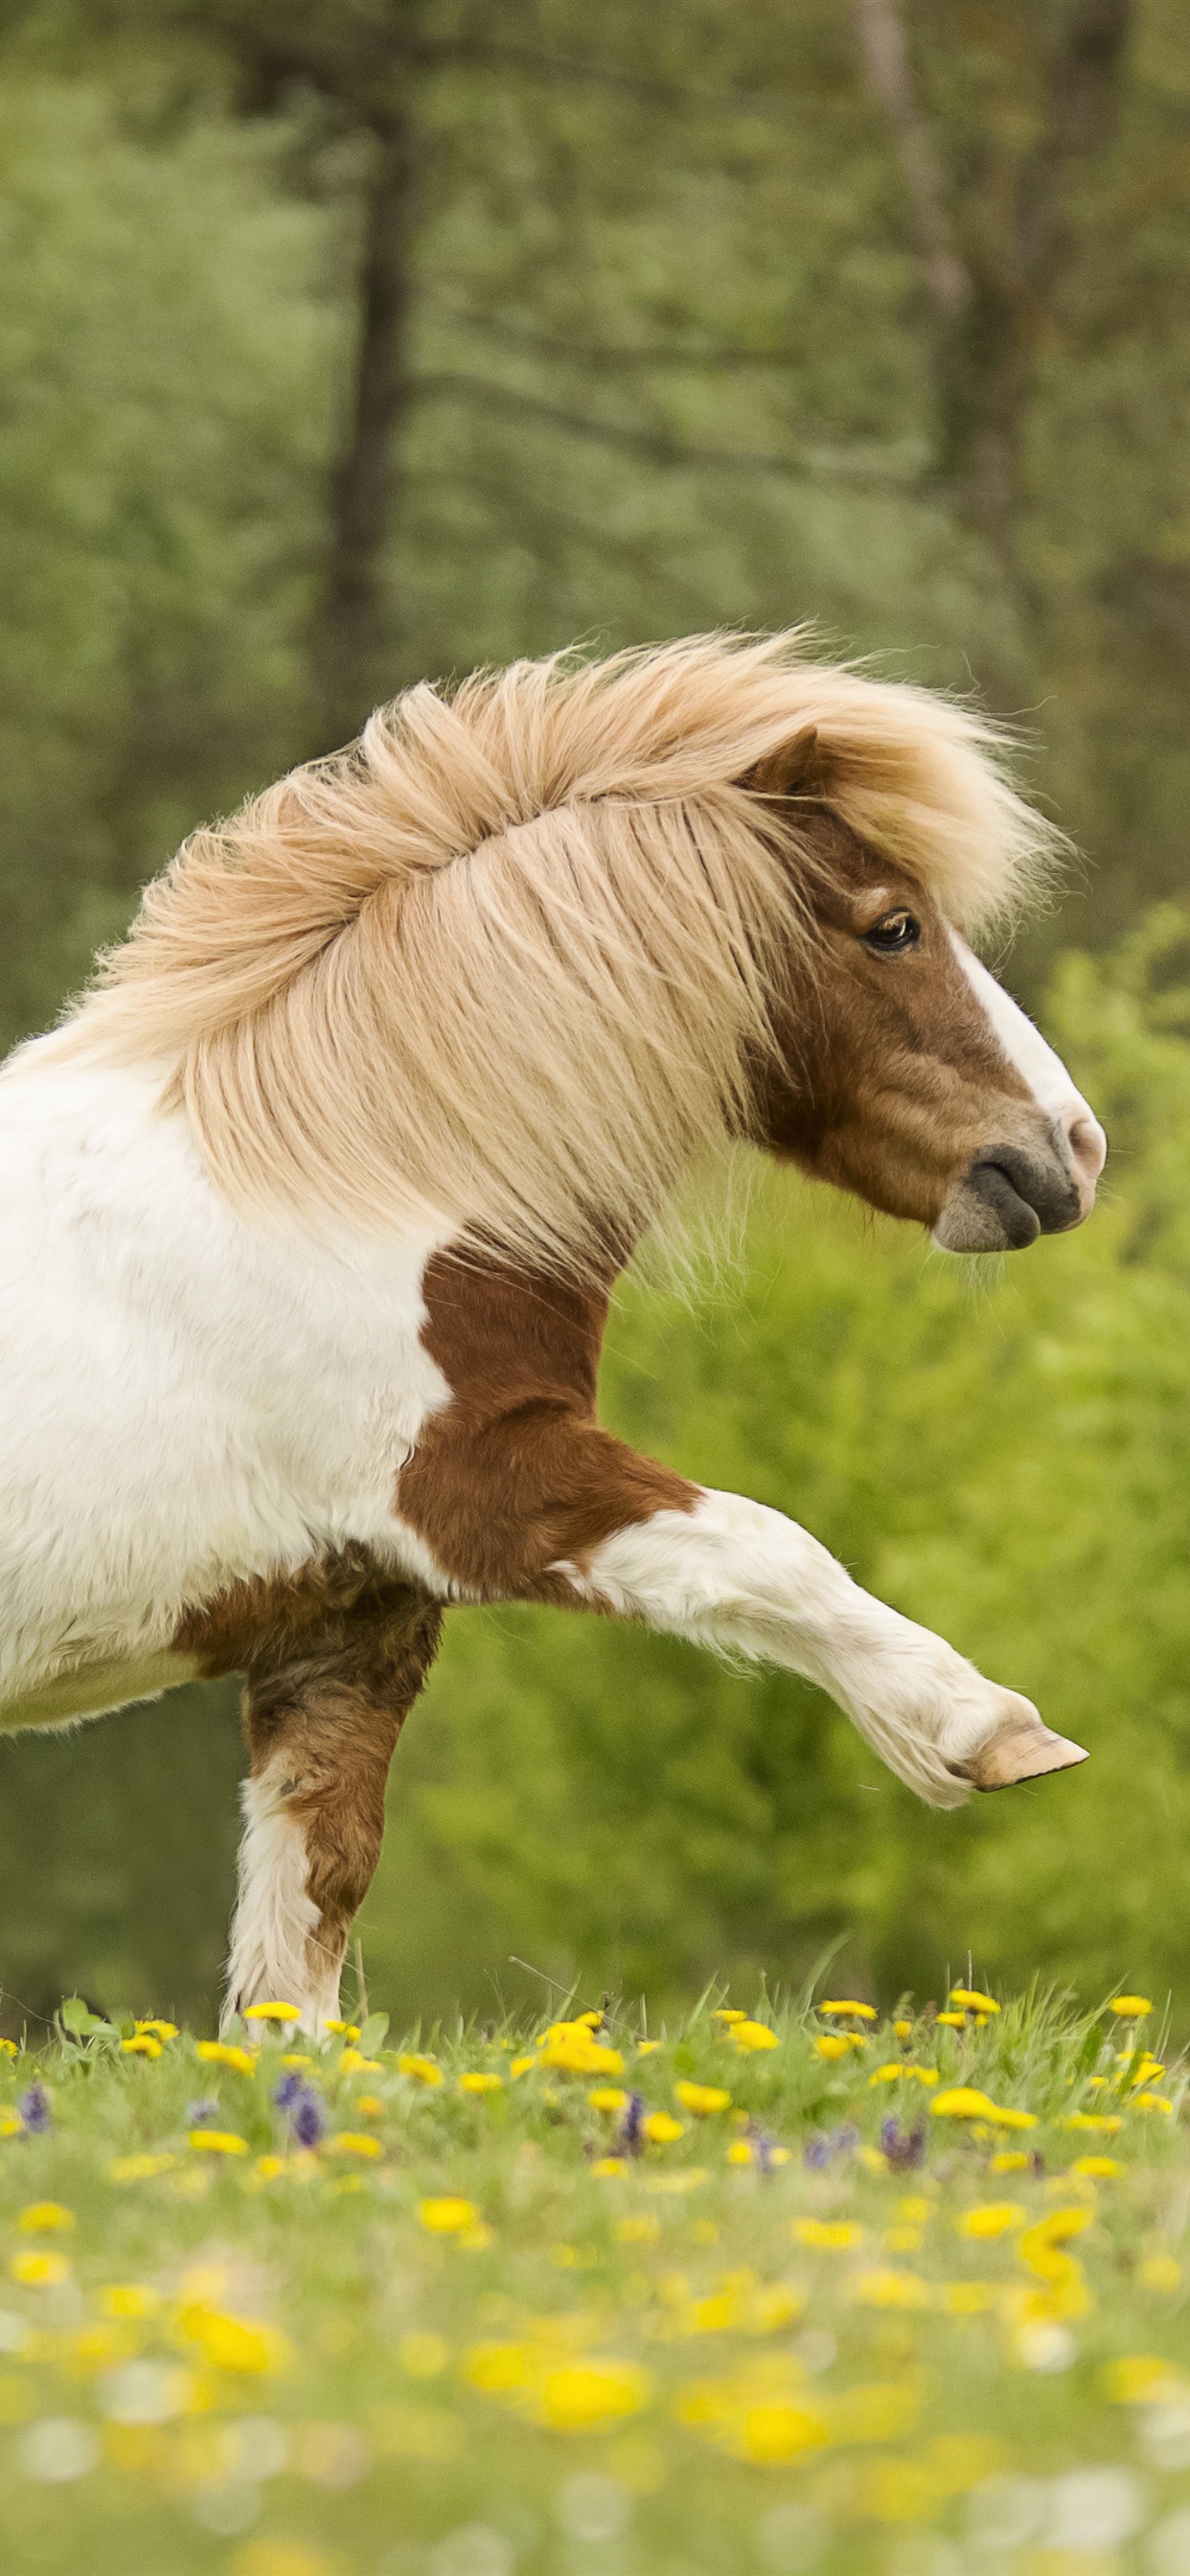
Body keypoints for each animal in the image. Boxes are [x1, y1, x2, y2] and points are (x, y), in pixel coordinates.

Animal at [0, 633, 1106, 2031]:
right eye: (893, 925)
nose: (1070, 1151)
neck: (353, 1186)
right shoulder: (481, 1492)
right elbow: (770, 1548)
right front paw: (985, 1732)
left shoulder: (352, 1623)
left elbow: (307, 1909)